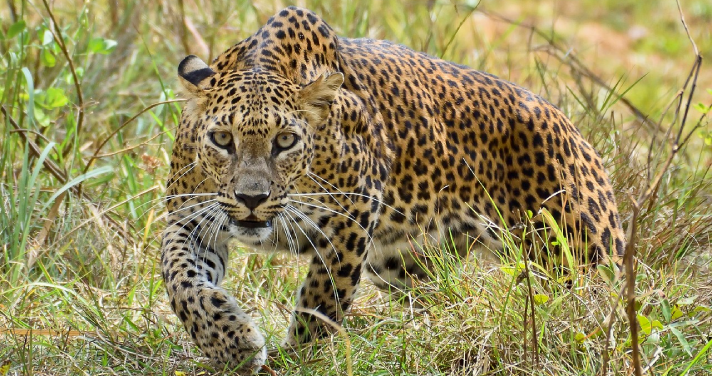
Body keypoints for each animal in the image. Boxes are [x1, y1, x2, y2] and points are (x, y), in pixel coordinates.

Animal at [160, 5, 624, 374]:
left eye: (286, 141)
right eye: (222, 139)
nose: (252, 199)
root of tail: (573, 129)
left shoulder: (351, 220)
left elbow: (321, 301)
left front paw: (295, 360)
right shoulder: (189, 218)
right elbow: (181, 281)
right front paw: (232, 344)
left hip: (579, 255)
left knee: (602, 307)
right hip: (403, 263)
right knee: (442, 296)